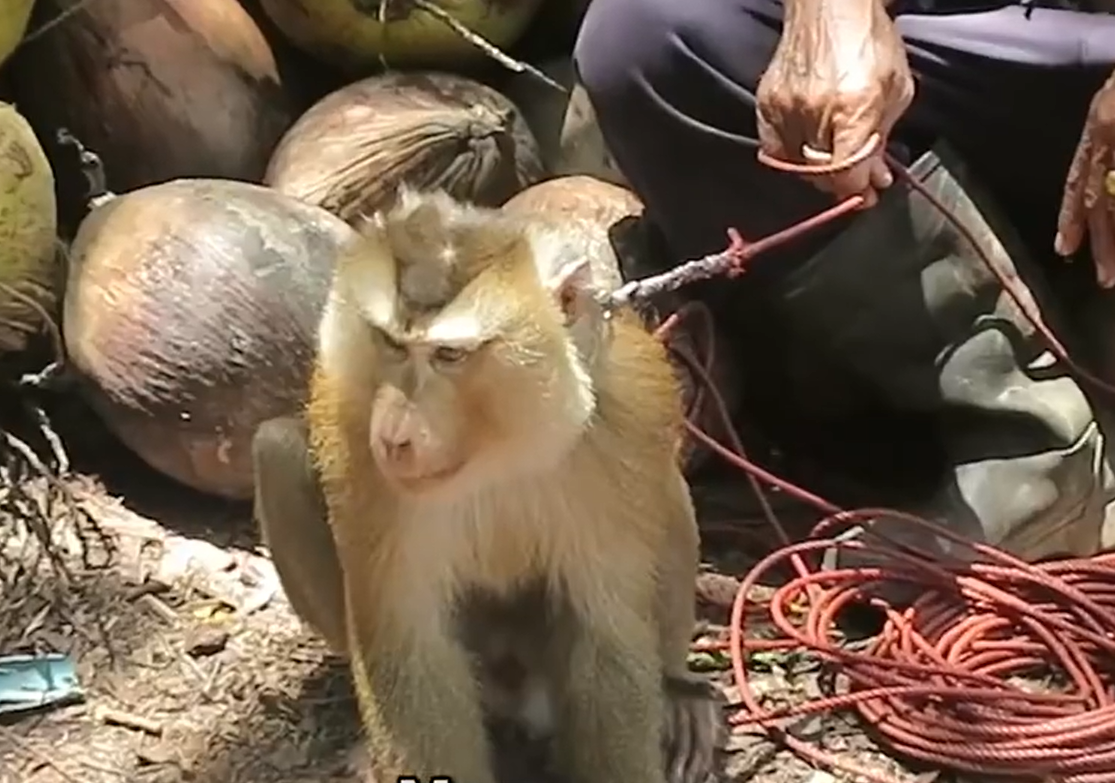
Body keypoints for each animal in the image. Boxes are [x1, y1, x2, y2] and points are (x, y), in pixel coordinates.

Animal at [250, 187, 722, 783]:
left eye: (449, 355)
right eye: (391, 344)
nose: (395, 435)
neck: (493, 449)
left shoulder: (618, 437)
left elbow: (606, 635)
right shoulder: (358, 449)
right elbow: (412, 650)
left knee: (669, 491)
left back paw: (678, 692)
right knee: (277, 451)